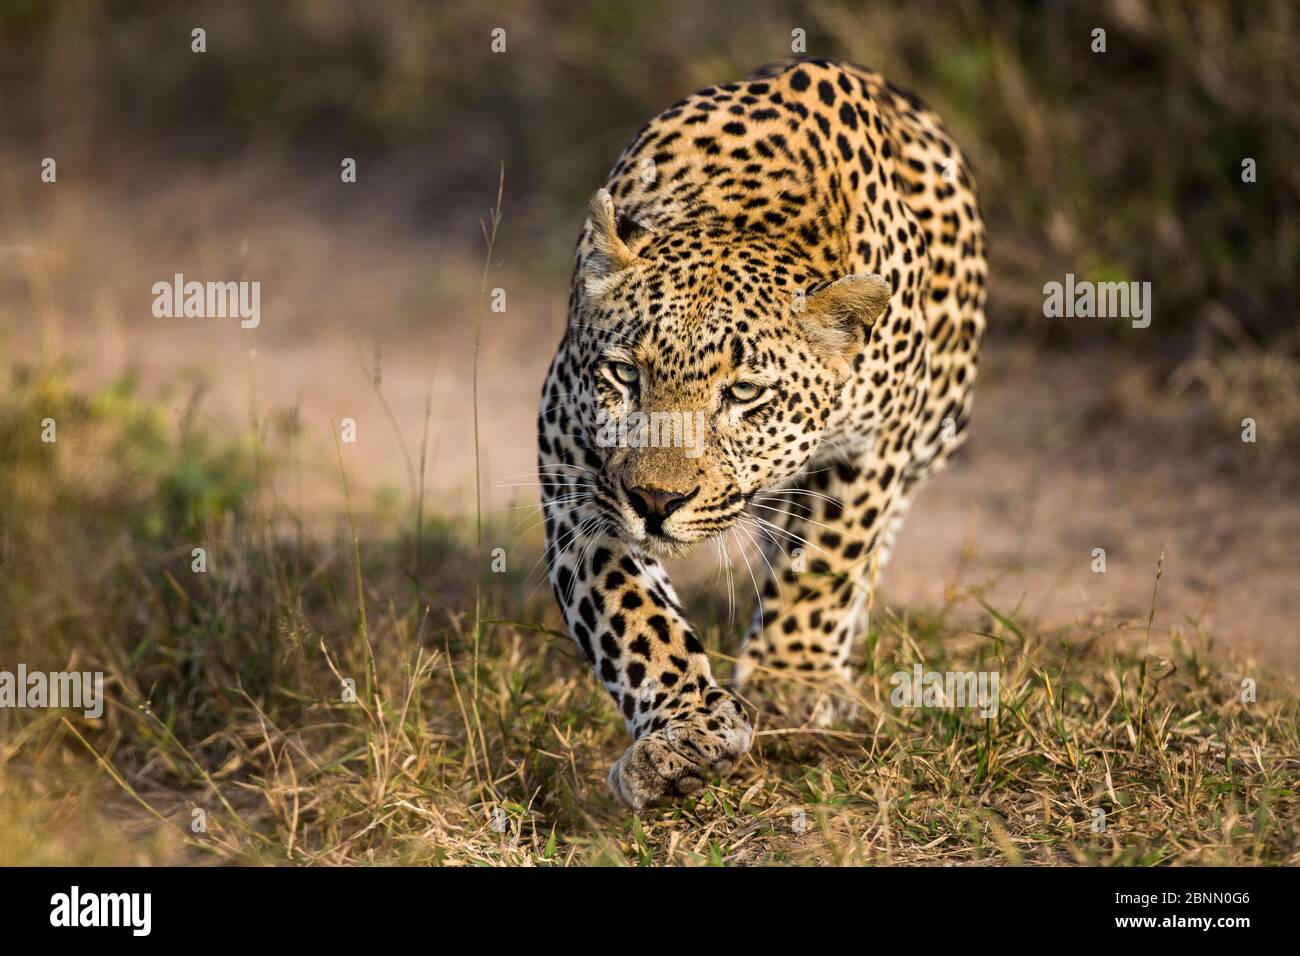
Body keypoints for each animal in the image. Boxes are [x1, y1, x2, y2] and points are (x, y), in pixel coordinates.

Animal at [535, 58, 987, 809]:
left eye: (743, 393)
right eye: (624, 374)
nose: (656, 502)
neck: (741, 216)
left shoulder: (873, 445)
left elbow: (828, 556)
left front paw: (789, 679)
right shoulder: (573, 463)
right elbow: (630, 609)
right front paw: (684, 730)